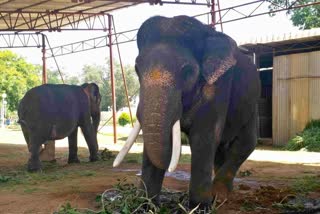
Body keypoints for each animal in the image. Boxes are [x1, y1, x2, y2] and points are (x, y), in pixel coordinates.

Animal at [114, 16, 262, 209]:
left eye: (188, 71)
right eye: (137, 69)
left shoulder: (218, 86)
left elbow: (203, 138)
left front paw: (200, 208)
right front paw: (145, 206)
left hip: (252, 104)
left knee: (246, 142)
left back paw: (219, 195)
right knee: (221, 149)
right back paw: (221, 195)